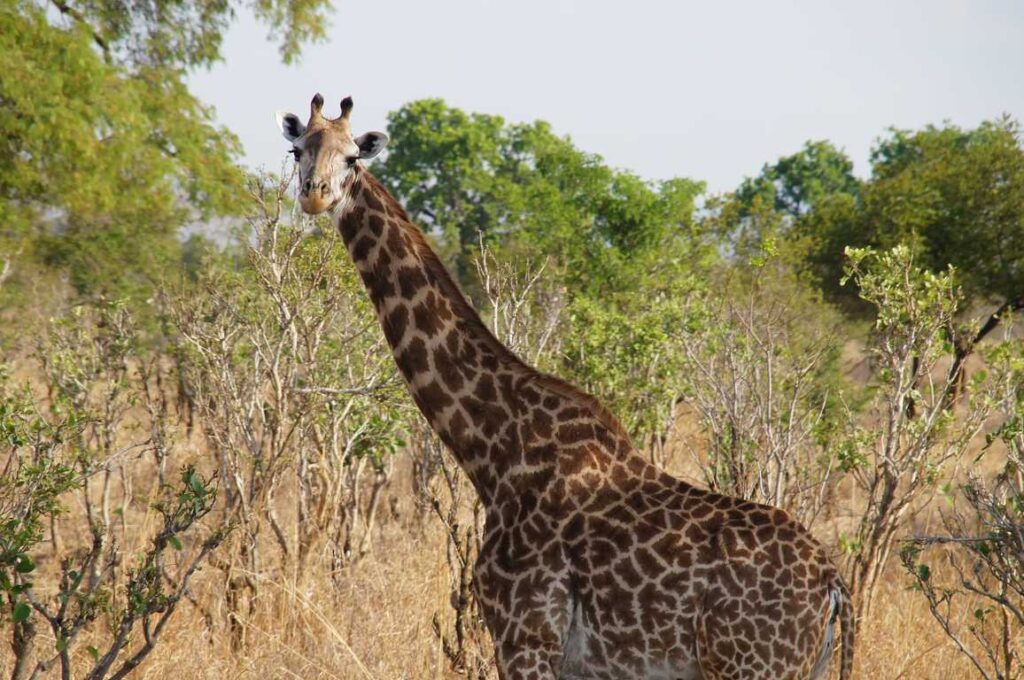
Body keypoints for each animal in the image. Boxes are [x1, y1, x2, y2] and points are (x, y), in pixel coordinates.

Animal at [276, 94, 855, 680]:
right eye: (299, 150)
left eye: (352, 158)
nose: (315, 194)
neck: (494, 452)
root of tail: (834, 587)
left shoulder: (527, 636)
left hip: (752, 665)